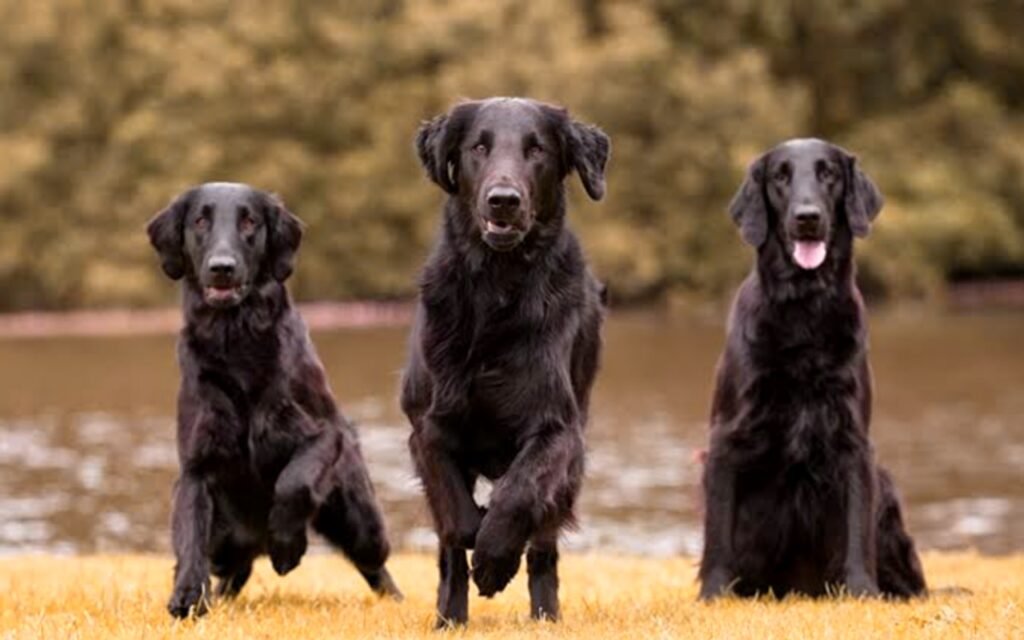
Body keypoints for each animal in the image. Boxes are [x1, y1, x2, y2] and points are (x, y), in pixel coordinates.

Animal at [147, 181, 399, 618]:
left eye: (249, 221)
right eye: (200, 221)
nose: (222, 266)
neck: (236, 340)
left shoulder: (329, 432)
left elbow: (295, 481)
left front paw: (286, 546)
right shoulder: (196, 464)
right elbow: (189, 534)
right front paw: (188, 596)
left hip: (363, 525)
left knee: (376, 562)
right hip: (227, 546)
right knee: (231, 567)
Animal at [399, 98, 606, 622]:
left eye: (537, 150)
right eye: (478, 147)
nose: (503, 200)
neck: (497, 287)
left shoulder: (559, 431)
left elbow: (520, 493)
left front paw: (495, 559)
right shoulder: (428, 426)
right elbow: (456, 519)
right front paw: (477, 541)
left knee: (544, 546)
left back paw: (545, 616)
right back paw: (449, 619)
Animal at [696, 138, 929, 598]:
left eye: (829, 174)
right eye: (780, 177)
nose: (807, 218)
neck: (803, 309)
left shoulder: (855, 441)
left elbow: (857, 528)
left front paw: (862, 591)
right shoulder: (726, 437)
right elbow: (718, 531)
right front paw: (713, 593)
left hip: (885, 483)